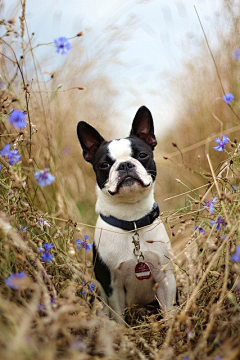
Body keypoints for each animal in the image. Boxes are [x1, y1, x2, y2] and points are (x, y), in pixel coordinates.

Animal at [77, 105, 176, 322]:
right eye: (104, 165)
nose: (124, 164)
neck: (132, 221)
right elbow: (118, 317)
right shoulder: (112, 286)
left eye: (142, 155)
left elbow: (169, 311)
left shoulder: (165, 277)